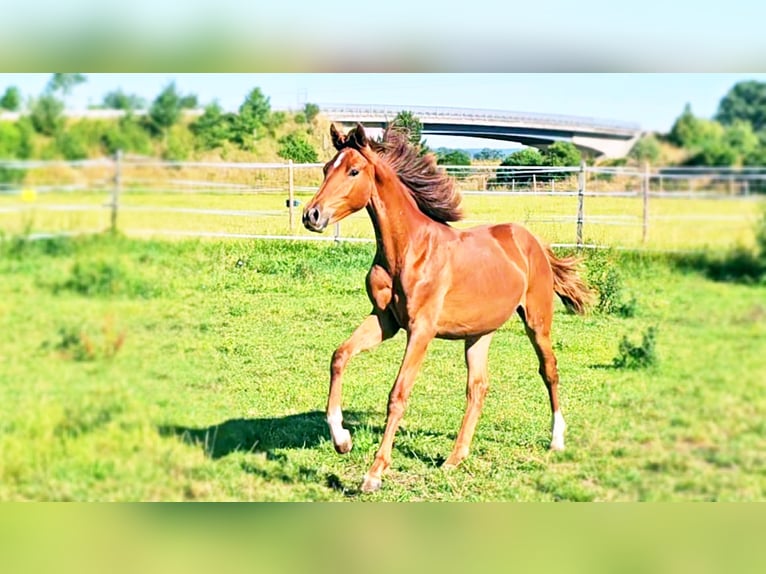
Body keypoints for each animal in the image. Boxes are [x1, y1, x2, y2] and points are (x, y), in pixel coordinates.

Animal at [302, 123, 592, 493]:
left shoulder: (420, 331)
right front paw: (342, 439)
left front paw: (374, 473)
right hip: (479, 333)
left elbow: (398, 394)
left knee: (549, 371)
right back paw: (455, 458)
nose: (312, 215)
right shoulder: (385, 321)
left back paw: (556, 440)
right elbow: (339, 356)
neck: (409, 249)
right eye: (327, 168)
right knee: (478, 388)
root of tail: (532, 241)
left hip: (537, 322)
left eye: (353, 171)